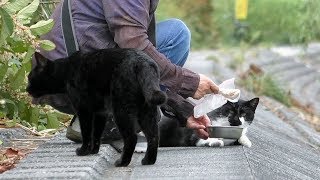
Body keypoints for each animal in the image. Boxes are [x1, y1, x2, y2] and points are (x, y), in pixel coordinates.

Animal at [27, 48, 166, 167]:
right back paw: (148, 160)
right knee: (154, 136)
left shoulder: (84, 110)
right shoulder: (100, 113)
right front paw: (93, 150)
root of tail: (143, 62)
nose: (26, 89)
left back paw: (122, 162)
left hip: (121, 110)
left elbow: (87, 133)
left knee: (132, 137)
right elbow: (97, 133)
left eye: (29, 77)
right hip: (146, 111)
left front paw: (83, 151)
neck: (66, 70)